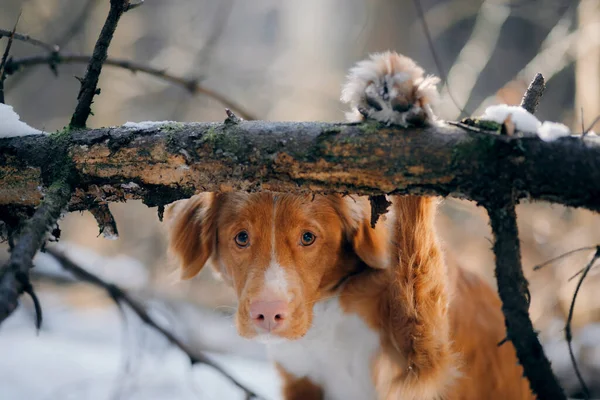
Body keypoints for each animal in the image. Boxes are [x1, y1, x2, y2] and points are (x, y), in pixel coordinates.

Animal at [165, 53, 536, 400]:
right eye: (241, 237)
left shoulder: (422, 357)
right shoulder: (300, 380)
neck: (328, 310)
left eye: (308, 237)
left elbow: (416, 264)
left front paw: (399, 100)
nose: (268, 315)